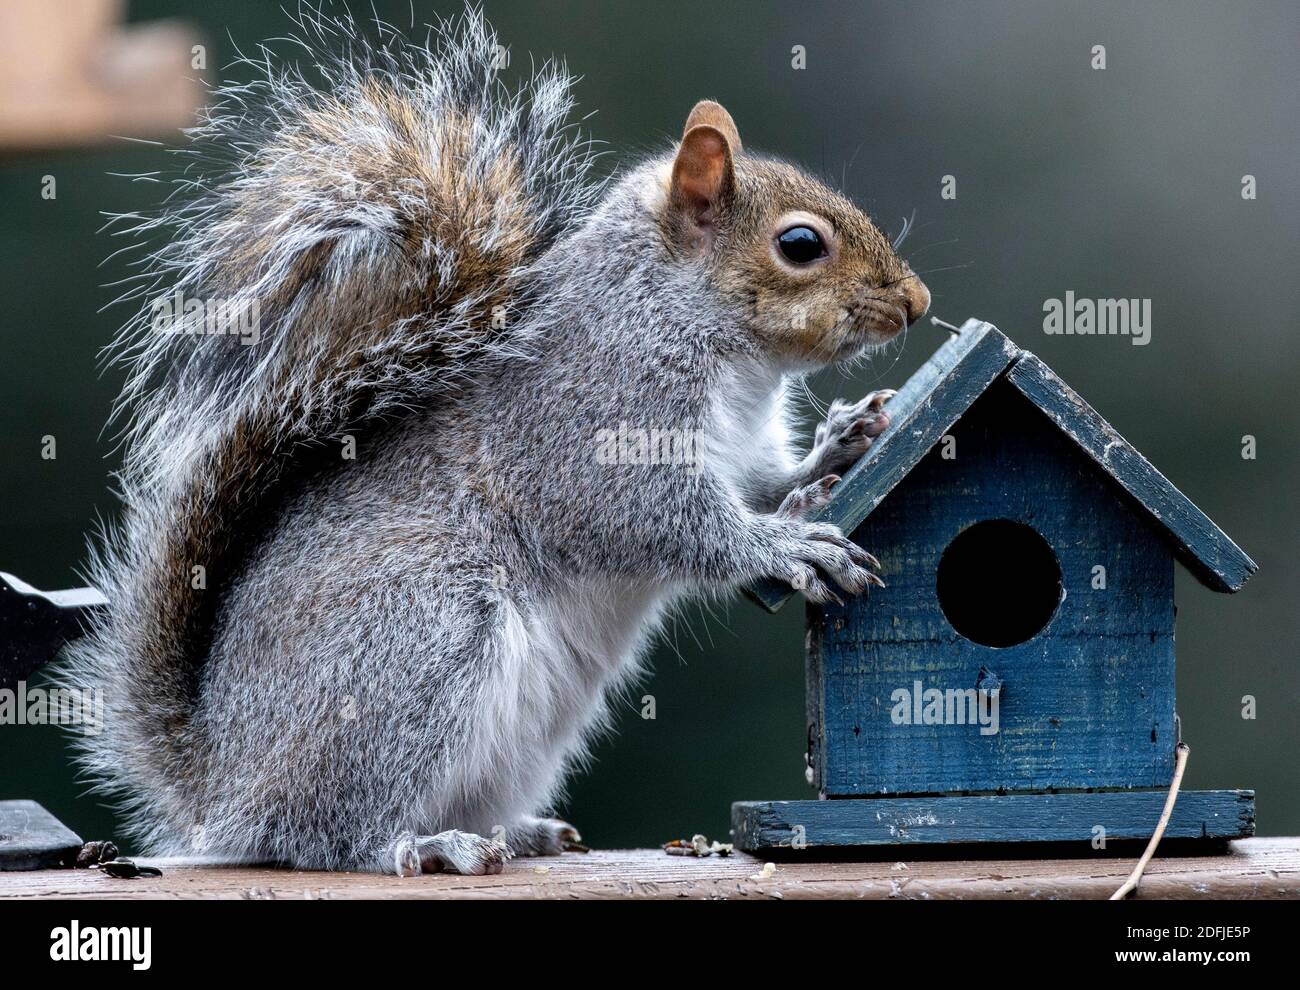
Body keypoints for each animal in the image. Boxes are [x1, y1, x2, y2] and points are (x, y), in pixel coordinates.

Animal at [60, 7, 929, 875]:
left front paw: (839, 448)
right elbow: (654, 519)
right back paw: (422, 844)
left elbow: (760, 486)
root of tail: (218, 778)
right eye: (801, 245)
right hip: (417, 635)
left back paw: (517, 832)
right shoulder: (594, 421)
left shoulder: (740, 448)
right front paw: (784, 546)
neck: (714, 341)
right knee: (322, 834)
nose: (916, 303)